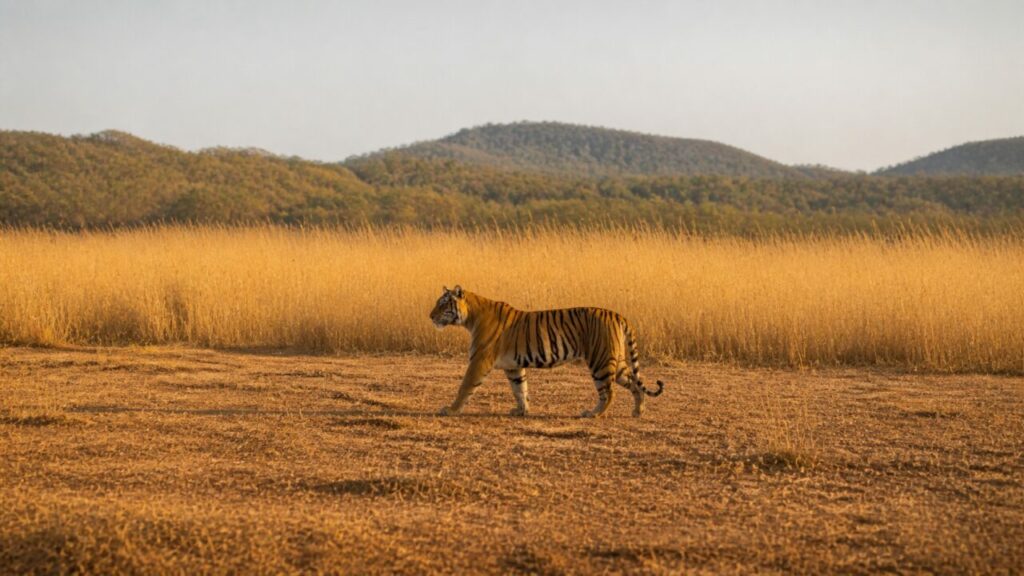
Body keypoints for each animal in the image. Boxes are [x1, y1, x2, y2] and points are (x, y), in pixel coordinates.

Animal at [429, 285, 664, 418]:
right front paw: (521, 411)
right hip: (616, 362)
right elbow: (520, 389)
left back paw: (592, 414)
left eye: (443, 304)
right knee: (635, 383)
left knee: (608, 393)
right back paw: (638, 411)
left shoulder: (479, 360)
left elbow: (465, 386)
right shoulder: (514, 367)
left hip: (601, 362)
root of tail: (618, 315)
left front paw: (451, 410)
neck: (470, 317)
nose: (430, 316)